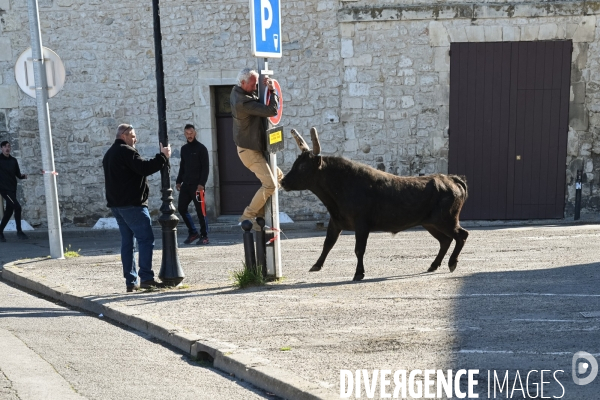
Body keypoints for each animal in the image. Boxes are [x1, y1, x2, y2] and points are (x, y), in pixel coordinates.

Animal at [278, 128, 472, 282]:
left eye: (303, 167)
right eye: (295, 163)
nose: (283, 182)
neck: (343, 185)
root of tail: (451, 179)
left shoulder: (361, 225)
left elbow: (359, 249)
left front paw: (358, 273)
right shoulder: (335, 221)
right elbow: (328, 243)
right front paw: (316, 265)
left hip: (446, 220)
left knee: (461, 235)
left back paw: (452, 263)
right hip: (430, 223)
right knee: (445, 240)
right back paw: (434, 265)